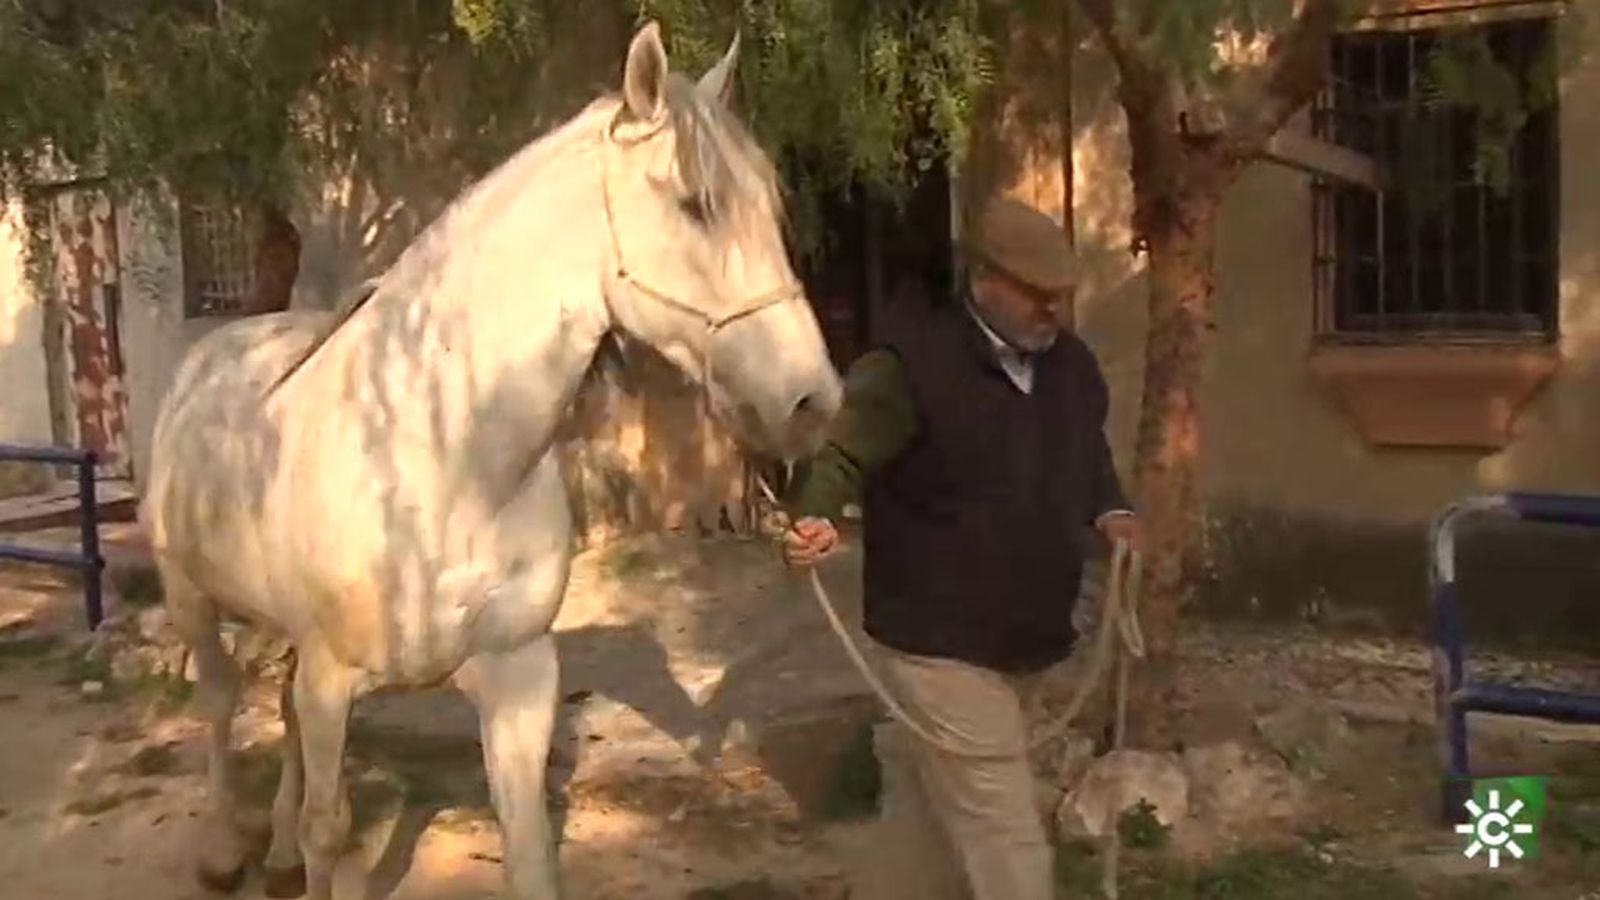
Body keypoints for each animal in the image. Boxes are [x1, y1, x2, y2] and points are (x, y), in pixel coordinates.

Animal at [139, 21, 842, 899]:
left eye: (771, 204)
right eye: (694, 202)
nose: (814, 401)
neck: (443, 462)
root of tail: (215, 350)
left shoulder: (518, 675)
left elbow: (526, 838)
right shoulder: (334, 678)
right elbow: (330, 827)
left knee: (280, 714)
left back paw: (273, 859)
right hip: (191, 598)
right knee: (220, 701)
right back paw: (225, 849)